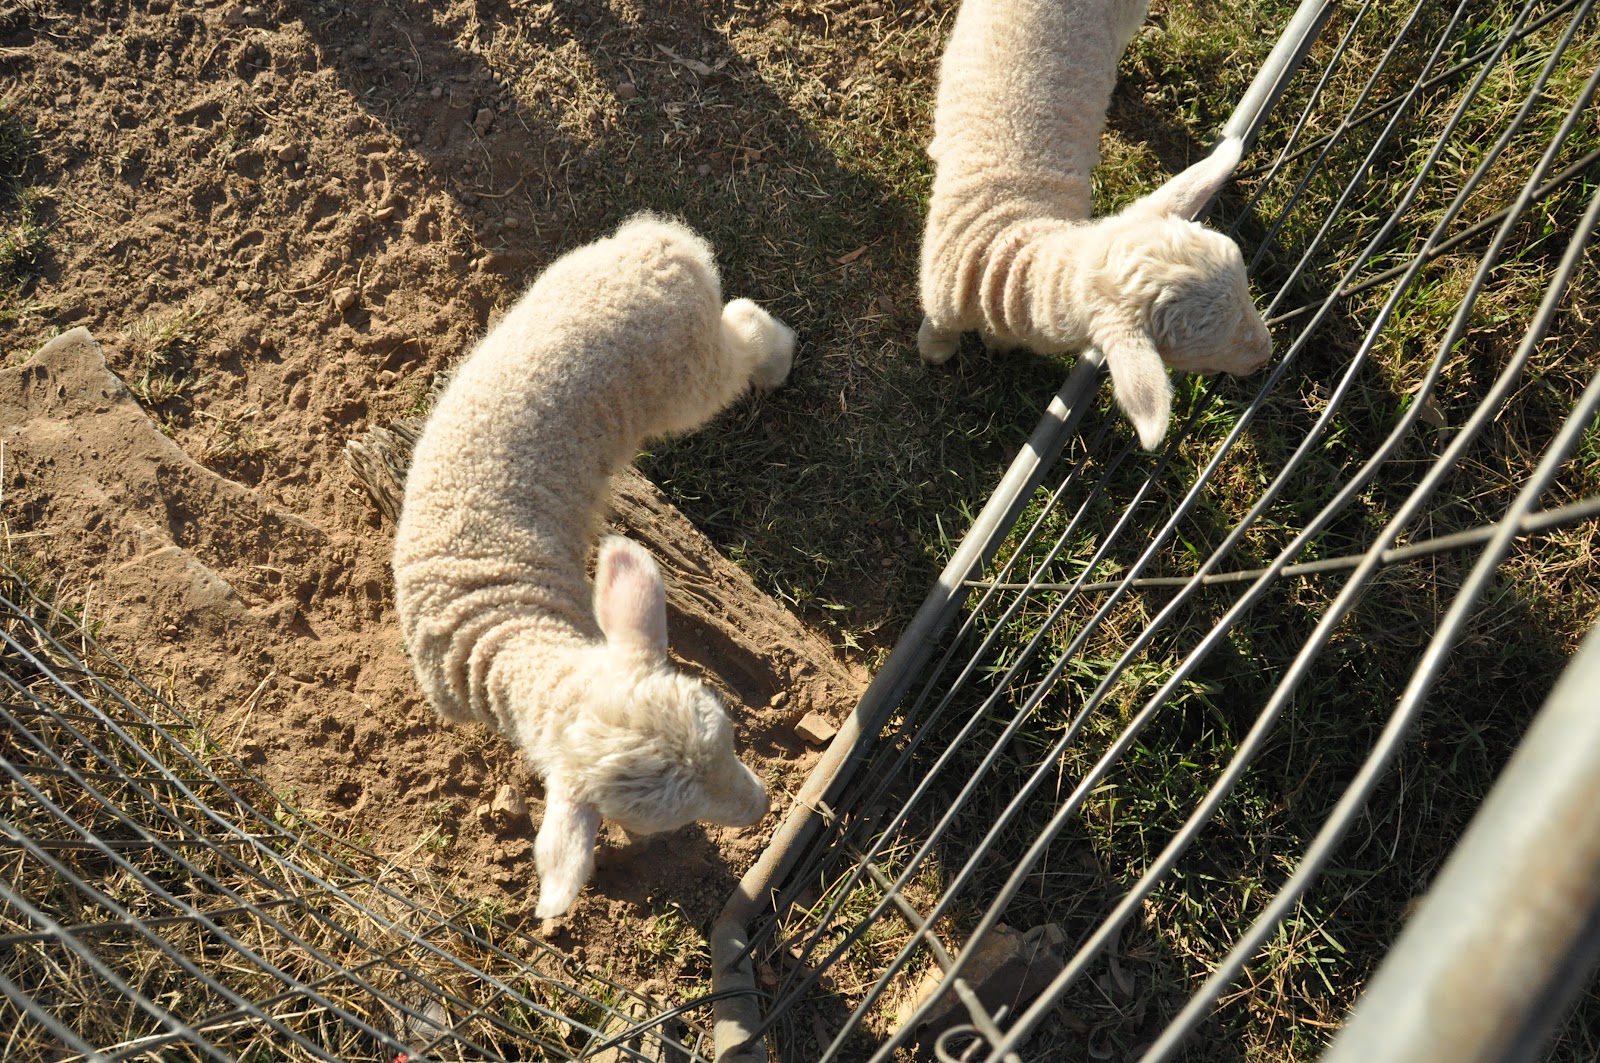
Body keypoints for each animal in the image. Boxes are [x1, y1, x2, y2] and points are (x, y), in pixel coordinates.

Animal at [392, 215, 794, 919]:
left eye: (731, 738)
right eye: (671, 817)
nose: (762, 805)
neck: (505, 627)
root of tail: (660, 247)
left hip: (691, 375)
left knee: (742, 328)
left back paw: (779, 358)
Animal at [918, 0, 1273, 451]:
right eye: (1193, 347)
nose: (1266, 355)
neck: (1012, 249)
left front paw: (996, 344)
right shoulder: (940, 296)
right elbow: (939, 338)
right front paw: (933, 352)